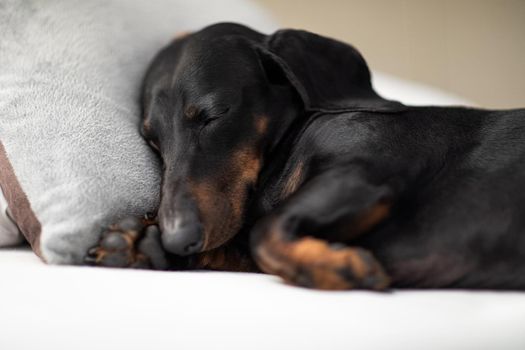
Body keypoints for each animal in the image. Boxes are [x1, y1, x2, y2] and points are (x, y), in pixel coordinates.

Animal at [87, 21, 524, 290]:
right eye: (152, 140)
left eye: (213, 114)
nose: (178, 239)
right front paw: (135, 241)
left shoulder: (367, 172)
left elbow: (264, 233)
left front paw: (337, 267)